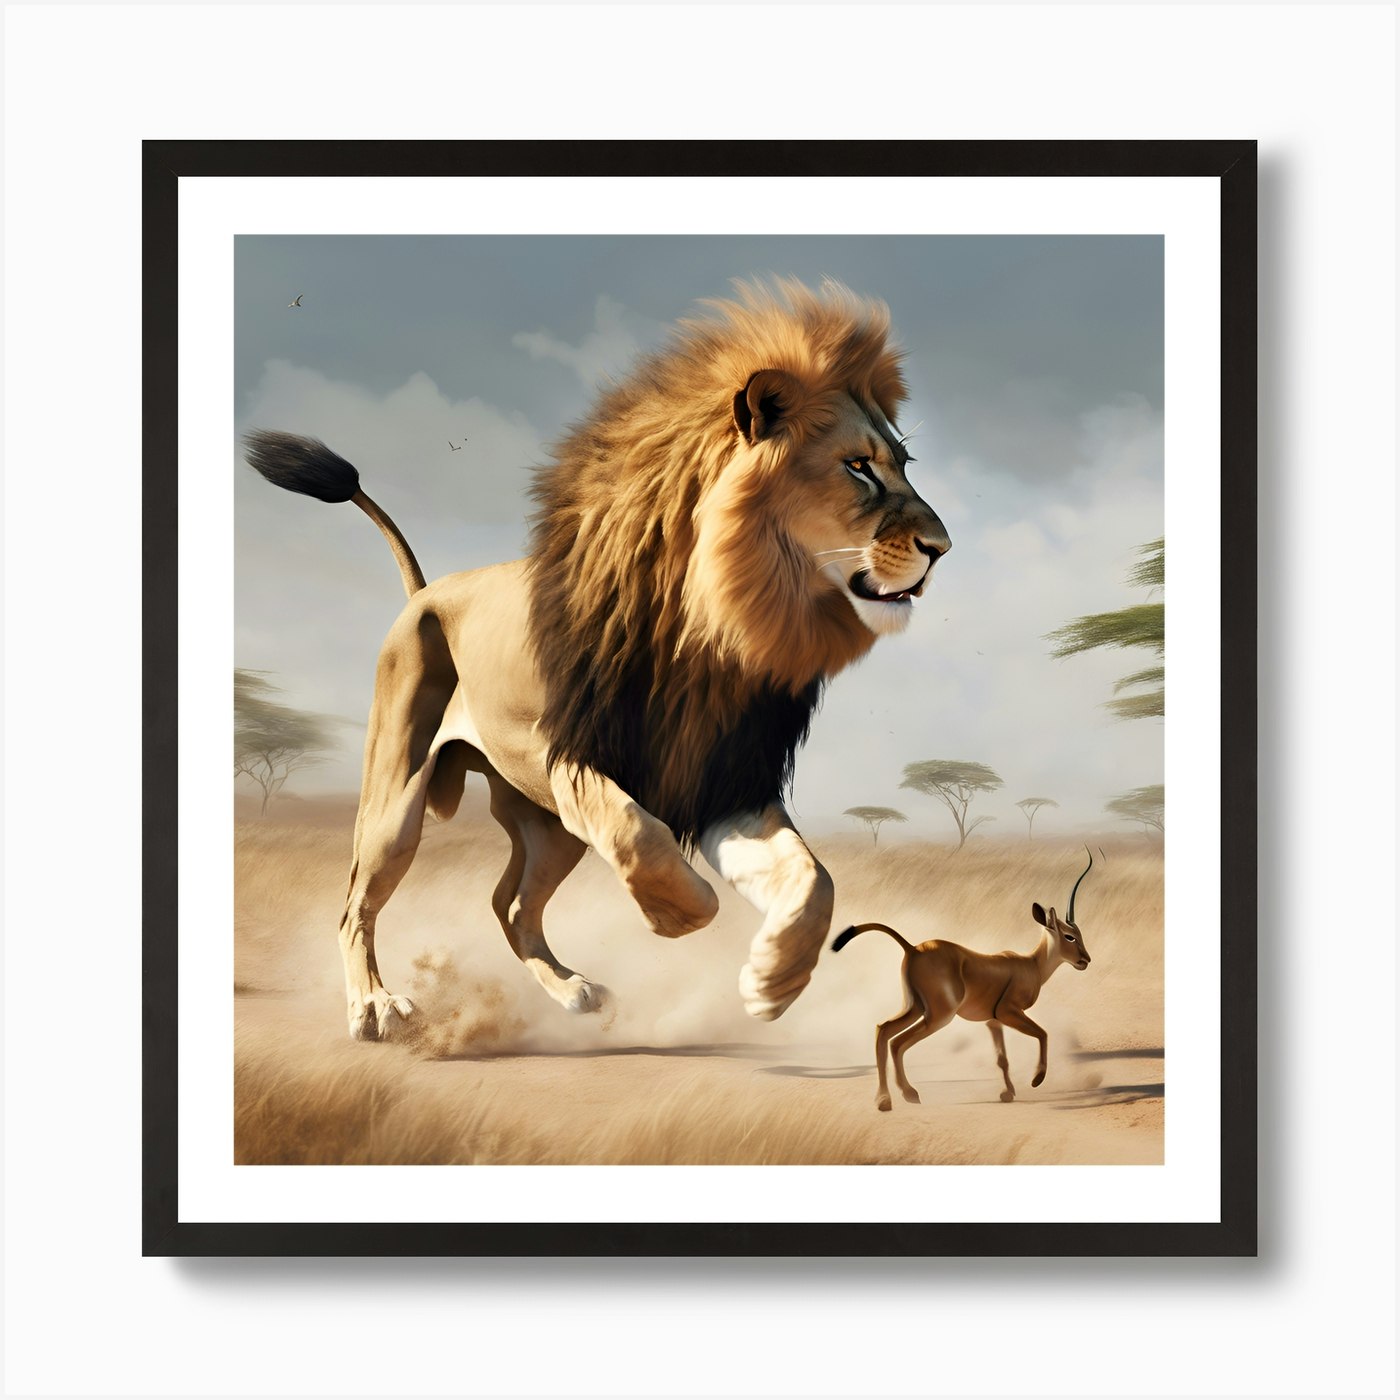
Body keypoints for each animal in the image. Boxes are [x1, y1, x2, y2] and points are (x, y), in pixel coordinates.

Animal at [243, 278, 950, 1040]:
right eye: (858, 467)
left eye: (902, 465)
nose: (941, 547)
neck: (716, 625)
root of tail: (428, 591)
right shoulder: (571, 756)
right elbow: (641, 833)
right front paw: (682, 913)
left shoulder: (725, 780)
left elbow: (814, 877)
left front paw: (773, 981)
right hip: (400, 800)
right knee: (357, 905)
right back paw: (376, 1006)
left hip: (546, 825)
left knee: (510, 904)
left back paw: (573, 989)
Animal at [833, 849, 1095, 1112]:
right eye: (1069, 936)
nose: (1086, 960)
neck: (1032, 964)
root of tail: (913, 948)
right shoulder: (1008, 1011)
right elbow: (1043, 1033)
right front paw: (1036, 1079)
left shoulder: (993, 1021)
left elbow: (1002, 1058)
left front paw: (1007, 1094)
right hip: (939, 1015)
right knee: (898, 1042)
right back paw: (907, 1094)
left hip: (915, 1006)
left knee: (884, 1029)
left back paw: (885, 1100)